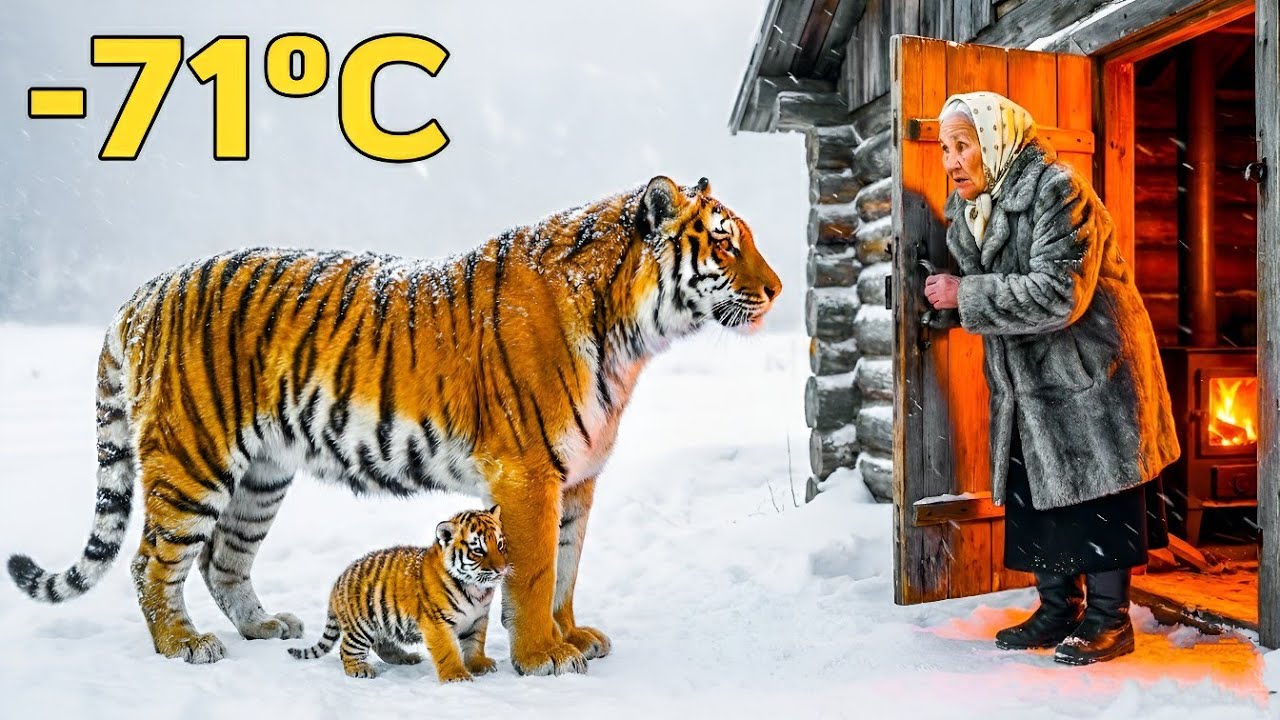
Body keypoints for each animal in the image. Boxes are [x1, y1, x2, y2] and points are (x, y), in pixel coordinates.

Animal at [289, 507, 507, 681]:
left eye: (500, 545)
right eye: (478, 550)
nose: (502, 570)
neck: (476, 590)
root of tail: (338, 581)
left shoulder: (477, 619)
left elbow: (475, 644)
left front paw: (479, 665)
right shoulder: (437, 623)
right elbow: (448, 651)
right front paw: (457, 676)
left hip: (381, 625)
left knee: (382, 645)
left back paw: (407, 657)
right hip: (361, 625)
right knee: (346, 650)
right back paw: (359, 669)